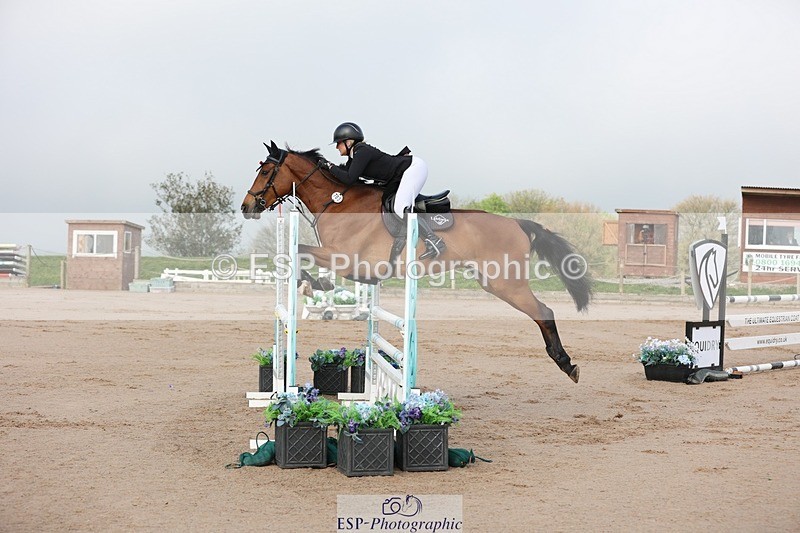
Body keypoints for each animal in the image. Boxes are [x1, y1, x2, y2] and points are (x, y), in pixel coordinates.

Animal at [241, 141, 592, 383]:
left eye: (266, 172)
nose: (247, 206)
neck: (337, 203)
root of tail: (518, 223)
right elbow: (295, 254)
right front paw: (315, 284)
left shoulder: (351, 261)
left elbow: (299, 252)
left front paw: (314, 284)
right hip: (494, 282)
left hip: (507, 283)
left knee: (544, 312)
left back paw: (566, 364)